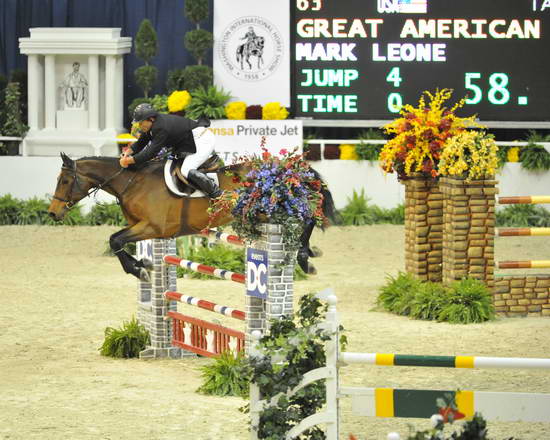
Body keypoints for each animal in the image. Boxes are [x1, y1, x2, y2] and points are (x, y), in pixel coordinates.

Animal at [48, 153, 340, 280]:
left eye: (64, 181)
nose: (53, 213)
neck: (132, 182)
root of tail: (285, 168)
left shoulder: (153, 227)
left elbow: (115, 240)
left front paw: (139, 270)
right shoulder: (139, 227)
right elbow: (117, 241)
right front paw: (144, 265)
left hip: (271, 207)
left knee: (308, 218)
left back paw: (305, 257)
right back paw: (308, 252)